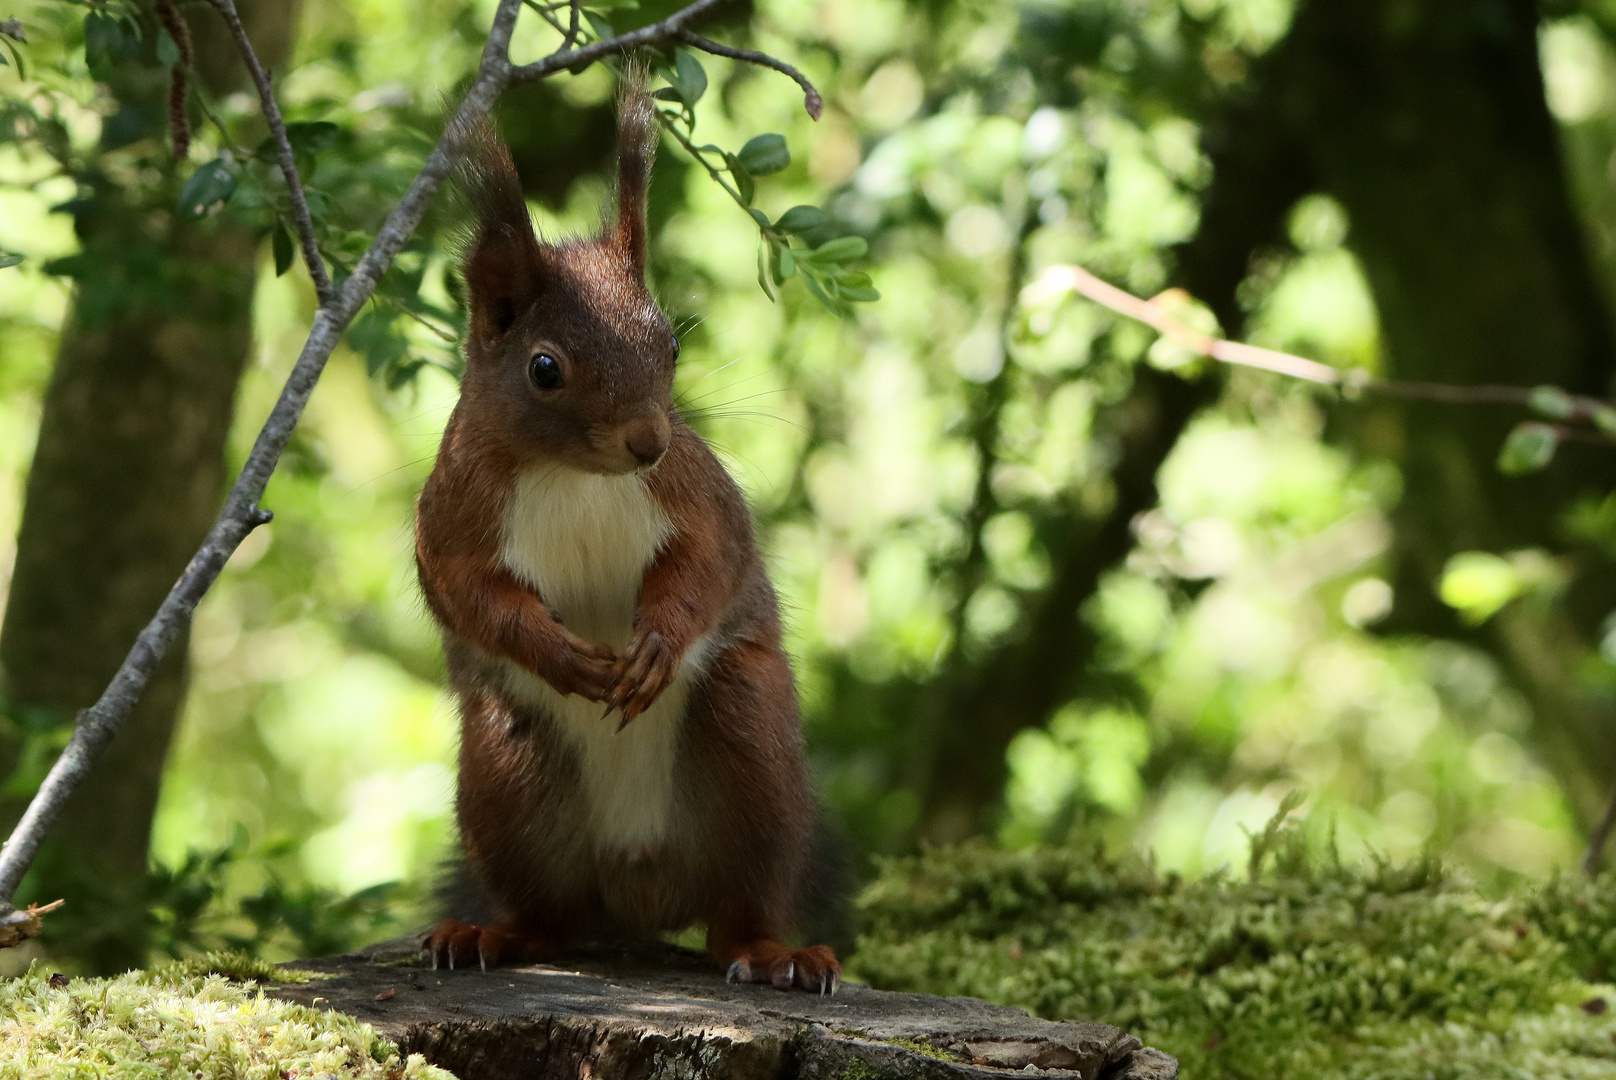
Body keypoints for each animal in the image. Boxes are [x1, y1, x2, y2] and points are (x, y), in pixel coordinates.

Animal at [413, 71, 846, 989]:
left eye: (671, 345)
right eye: (544, 369)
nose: (647, 439)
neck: (576, 476)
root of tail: (640, 883)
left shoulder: (692, 490)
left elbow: (712, 558)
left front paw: (655, 644)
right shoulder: (454, 512)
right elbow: (466, 590)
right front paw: (559, 653)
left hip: (752, 746)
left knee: (740, 911)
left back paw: (776, 954)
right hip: (507, 776)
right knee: (554, 922)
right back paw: (489, 937)